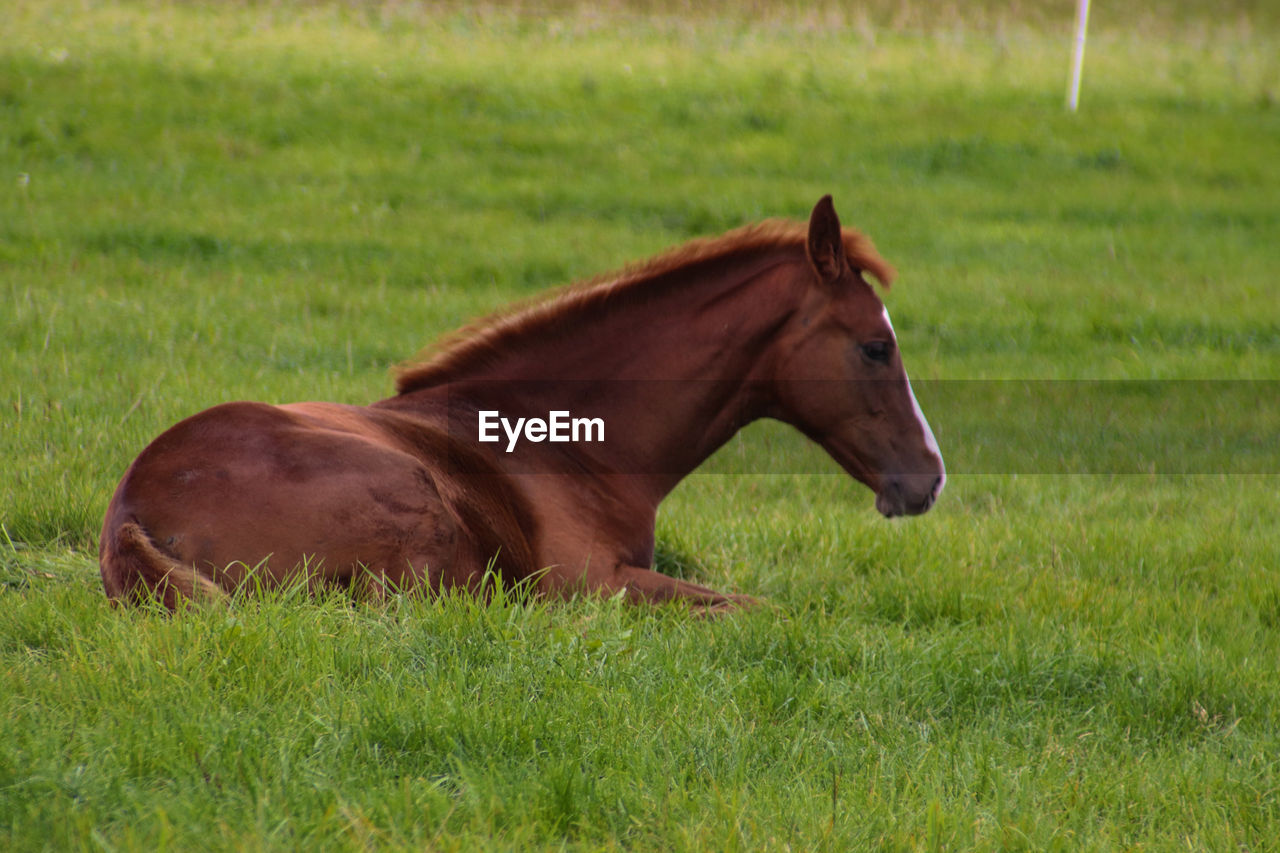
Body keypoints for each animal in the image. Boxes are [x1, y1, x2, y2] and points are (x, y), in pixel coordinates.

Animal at [97, 197, 942, 612]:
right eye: (877, 346)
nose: (929, 478)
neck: (569, 445)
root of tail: (132, 513)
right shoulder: (593, 581)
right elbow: (762, 608)